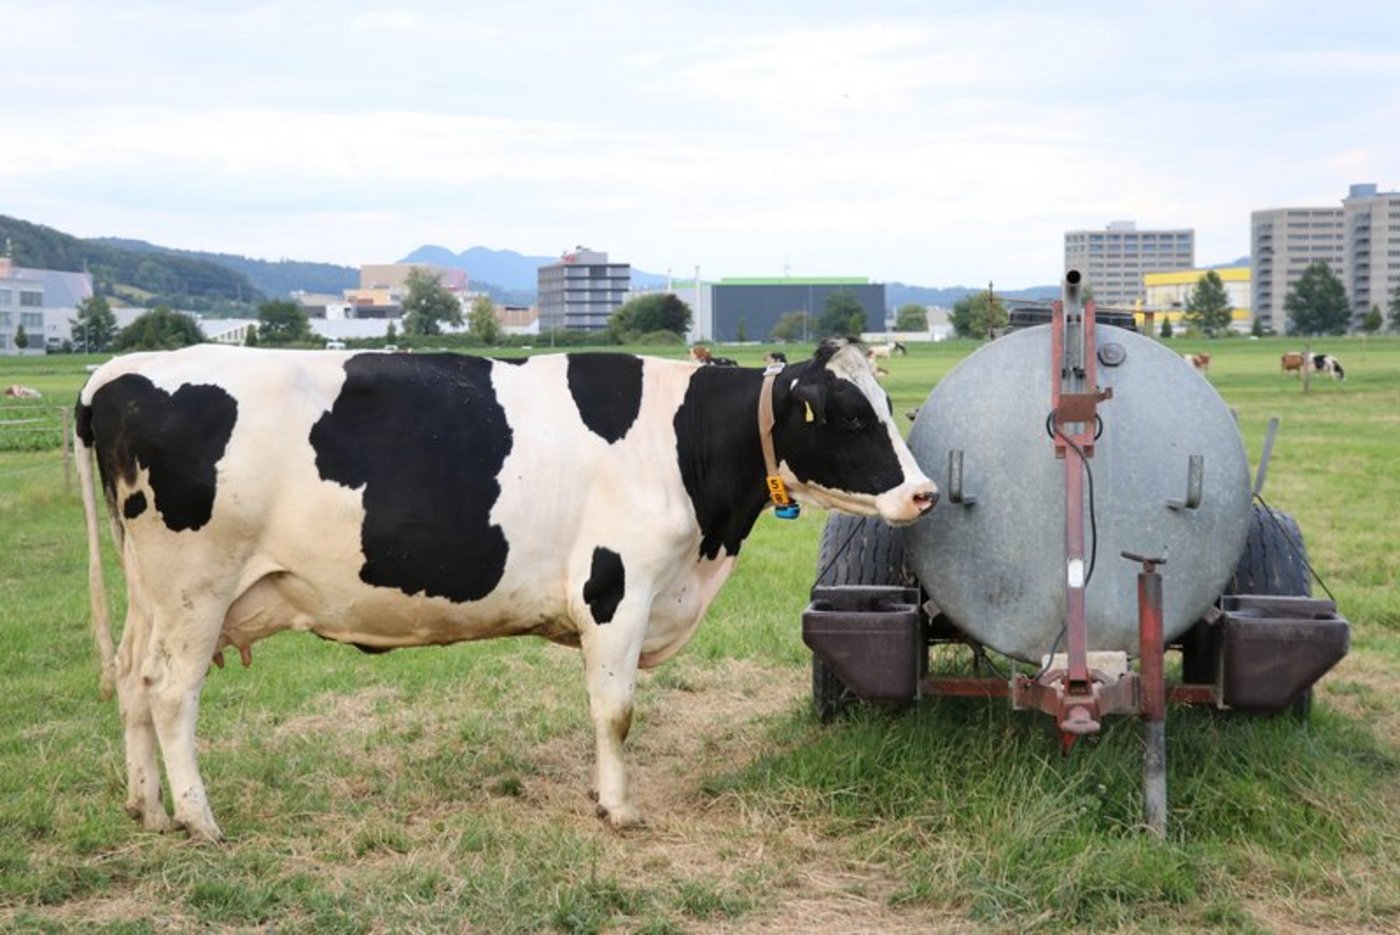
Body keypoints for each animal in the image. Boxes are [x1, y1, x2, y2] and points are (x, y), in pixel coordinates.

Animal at [75, 338, 937, 841]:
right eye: (851, 417)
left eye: (887, 404)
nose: (924, 492)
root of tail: (112, 375)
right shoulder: (617, 588)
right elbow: (616, 711)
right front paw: (618, 808)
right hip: (195, 585)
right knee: (169, 692)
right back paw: (199, 819)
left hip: (151, 593)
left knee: (130, 680)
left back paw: (144, 806)